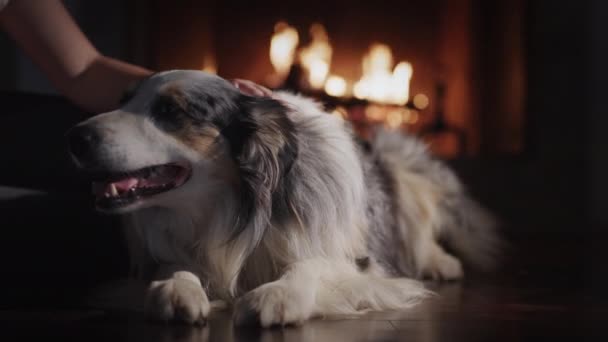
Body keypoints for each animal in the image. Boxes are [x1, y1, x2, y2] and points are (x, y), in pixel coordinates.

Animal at [66, 69, 498, 326]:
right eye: (122, 101)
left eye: (170, 110)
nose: (75, 137)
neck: (241, 205)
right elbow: (173, 267)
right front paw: (176, 288)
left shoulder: (359, 264)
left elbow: (312, 265)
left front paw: (277, 294)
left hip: (401, 161)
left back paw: (442, 263)